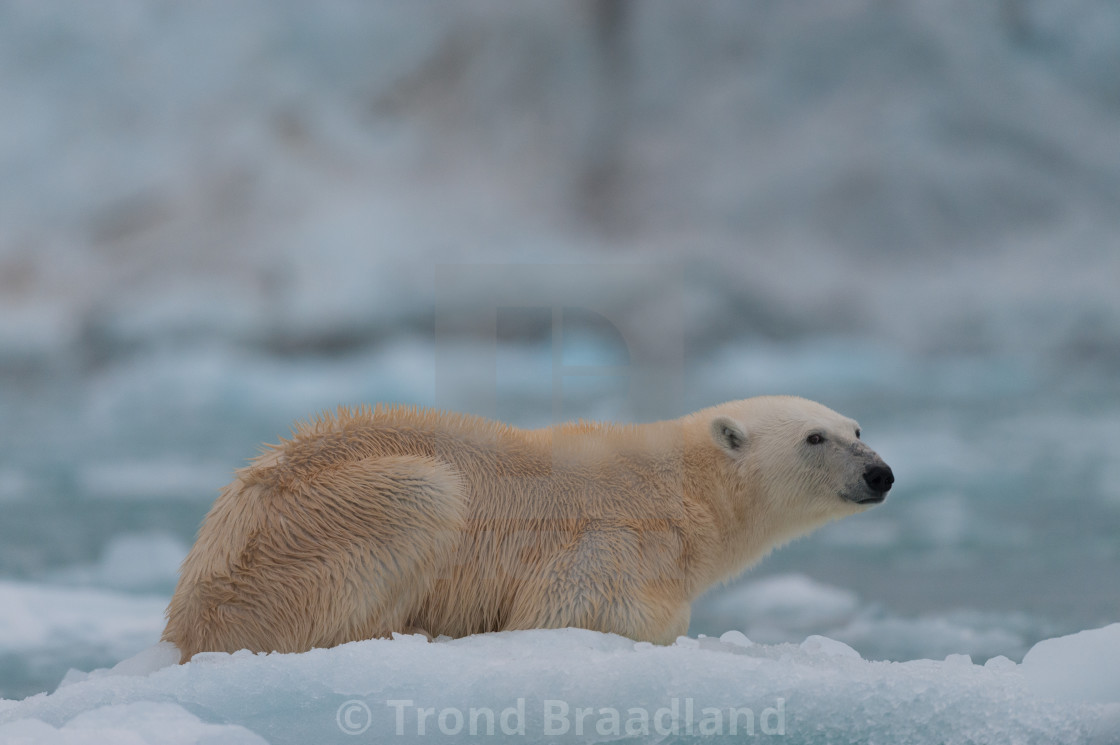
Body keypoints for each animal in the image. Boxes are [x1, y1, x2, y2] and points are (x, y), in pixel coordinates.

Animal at [163, 394, 891, 658]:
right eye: (816, 437)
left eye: (858, 426)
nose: (881, 473)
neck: (683, 487)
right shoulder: (613, 536)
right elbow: (579, 609)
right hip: (304, 536)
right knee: (424, 494)